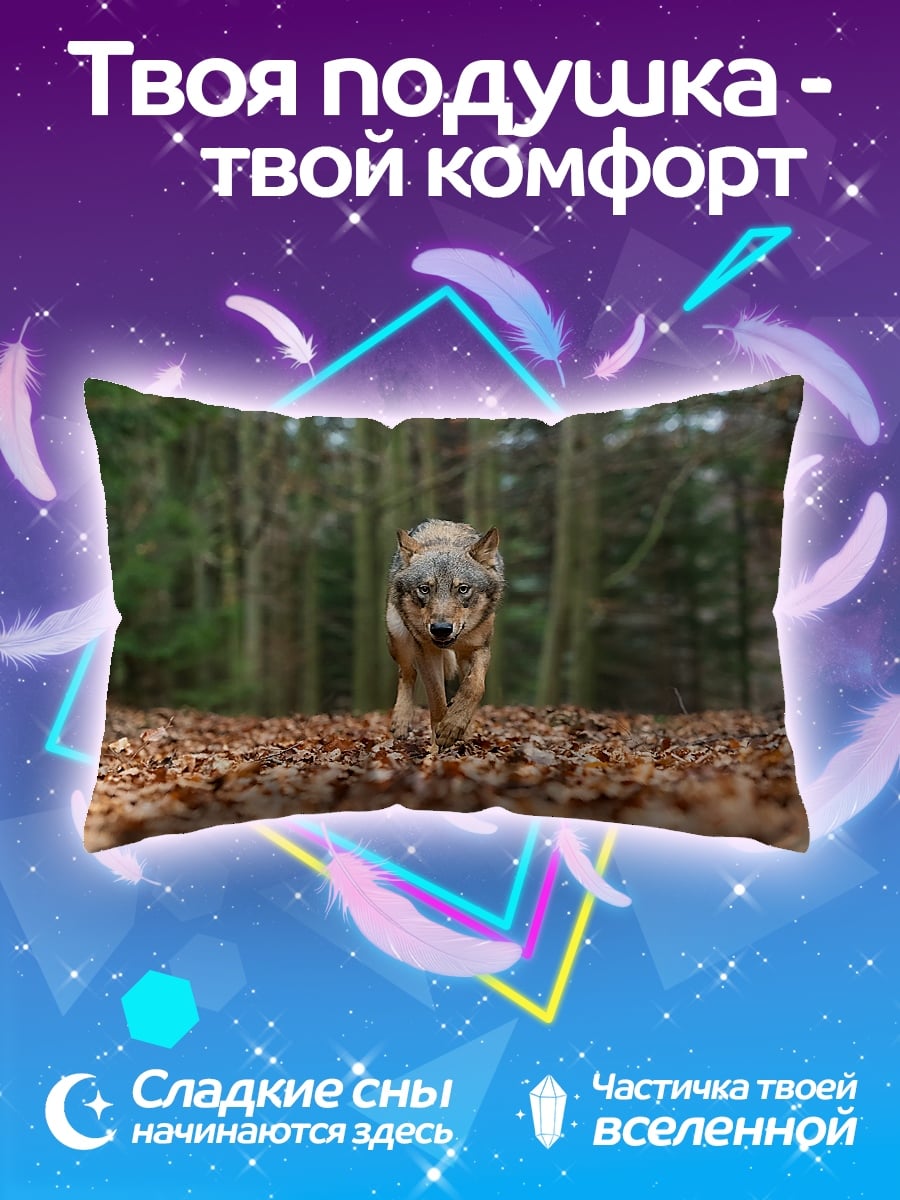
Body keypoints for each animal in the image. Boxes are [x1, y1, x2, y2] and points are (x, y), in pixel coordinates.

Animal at [386, 519, 504, 749]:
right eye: (424, 589)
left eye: (463, 589)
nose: (441, 629)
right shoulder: (426, 651)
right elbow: (437, 700)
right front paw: (440, 742)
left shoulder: (479, 647)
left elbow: (474, 686)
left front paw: (454, 727)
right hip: (398, 637)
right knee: (407, 673)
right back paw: (401, 722)